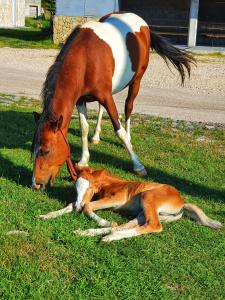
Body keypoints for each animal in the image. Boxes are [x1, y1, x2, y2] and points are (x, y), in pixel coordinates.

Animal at [31, 12, 195, 190]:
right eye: (33, 149)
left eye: (46, 150)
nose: (35, 184)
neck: (86, 58)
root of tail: (141, 23)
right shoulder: (81, 99)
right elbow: (84, 128)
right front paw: (83, 160)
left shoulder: (106, 97)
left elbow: (119, 130)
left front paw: (138, 165)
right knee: (101, 110)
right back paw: (96, 136)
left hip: (136, 81)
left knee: (128, 108)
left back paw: (129, 138)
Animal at [40, 165, 221, 243]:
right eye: (76, 187)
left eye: (89, 187)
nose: (77, 210)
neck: (112, 184)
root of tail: (182, 202)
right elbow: (73, 204)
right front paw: (46, 215)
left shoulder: (117, 200)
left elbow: (87, 206)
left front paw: (103, 221)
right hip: (144, 211)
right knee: (130, 225)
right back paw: (89, 232)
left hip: (148, 197)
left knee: (154, 226)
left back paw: (108, 235)